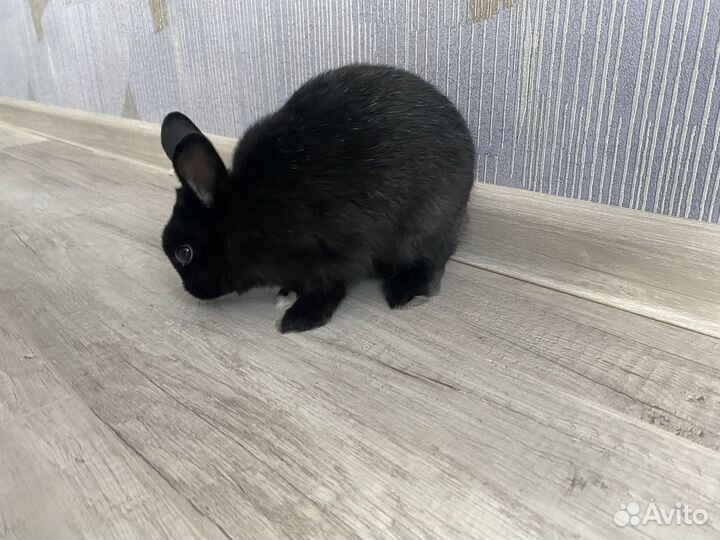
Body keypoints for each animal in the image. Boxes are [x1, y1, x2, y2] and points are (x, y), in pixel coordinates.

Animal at [161, 64, 476, 333]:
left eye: (184, 253)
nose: (192, 291)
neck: (241, 216)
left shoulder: (335, 254)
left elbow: (328, 287)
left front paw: (298, 319)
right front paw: (287, 294)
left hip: (424, 223)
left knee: (431, 258)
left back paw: (405, 293)